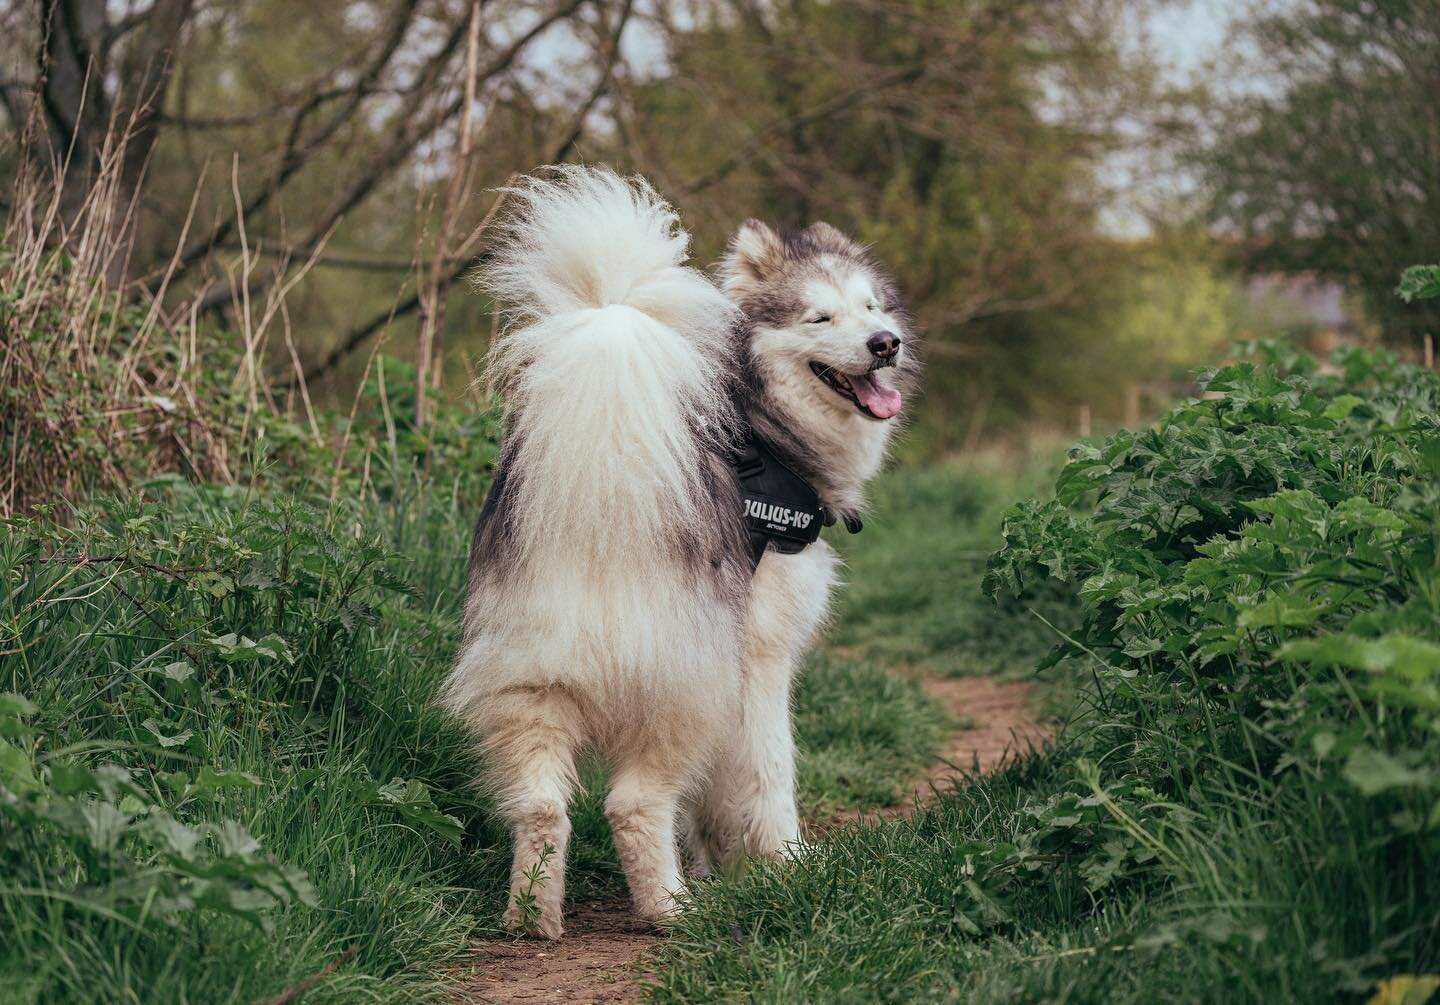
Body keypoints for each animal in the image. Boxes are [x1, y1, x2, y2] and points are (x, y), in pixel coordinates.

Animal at [440, 160, 921, 933]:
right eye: (819, 318)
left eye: (873, 306)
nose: (885, 343)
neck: (762, 428)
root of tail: (602, 516)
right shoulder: (761, 658)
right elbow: (768, 773)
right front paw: (785, 863)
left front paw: (716, 859)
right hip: (688, 691)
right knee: (632, 804)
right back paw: (669, 910)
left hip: (529, 683)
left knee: (542, 809)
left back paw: (532, 918)